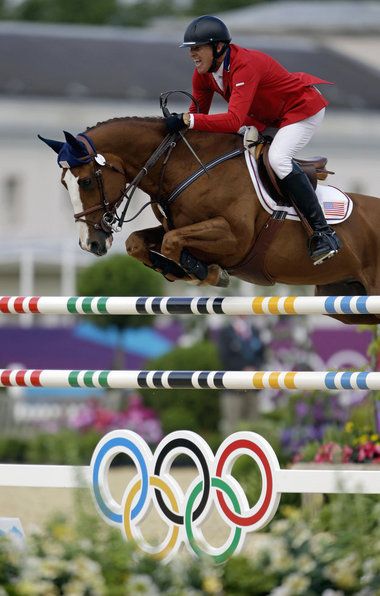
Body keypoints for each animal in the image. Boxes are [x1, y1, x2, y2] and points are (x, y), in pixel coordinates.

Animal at [39, 117, 380, 326]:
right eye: (63, 184)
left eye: (85, 182)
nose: (90, 244)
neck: (185, 166)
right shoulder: (176, 225)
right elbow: (140, 242)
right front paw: (181, 269)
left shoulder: (234, 238)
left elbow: (172, 242)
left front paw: (207, 272)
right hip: (347, 302)